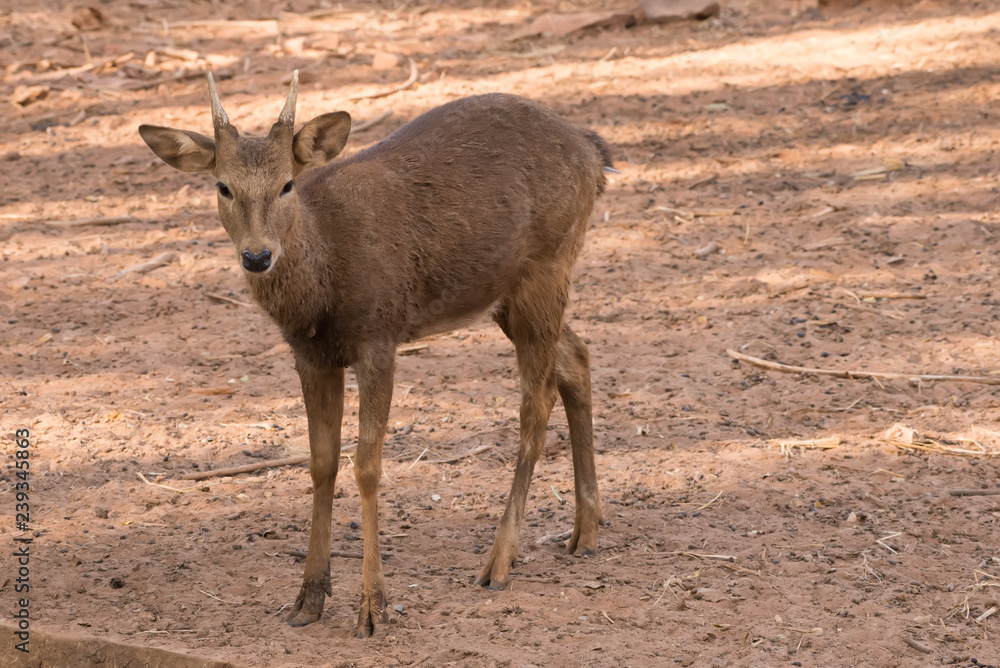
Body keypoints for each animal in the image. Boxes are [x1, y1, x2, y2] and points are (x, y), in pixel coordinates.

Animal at [138, 71, 611, 636]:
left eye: (286, 184)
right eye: (223, 186)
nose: (257, 256)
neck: (321, 287)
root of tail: (593, 153)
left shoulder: (378, 338)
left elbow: (366, 465)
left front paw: (373, 608)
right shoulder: (310, 355)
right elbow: (321, 463)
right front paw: (307, 599)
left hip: (548, 264)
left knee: (534, 406)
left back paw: (499, 561)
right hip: (506, 294)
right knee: (577, 357)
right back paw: (586, 531)